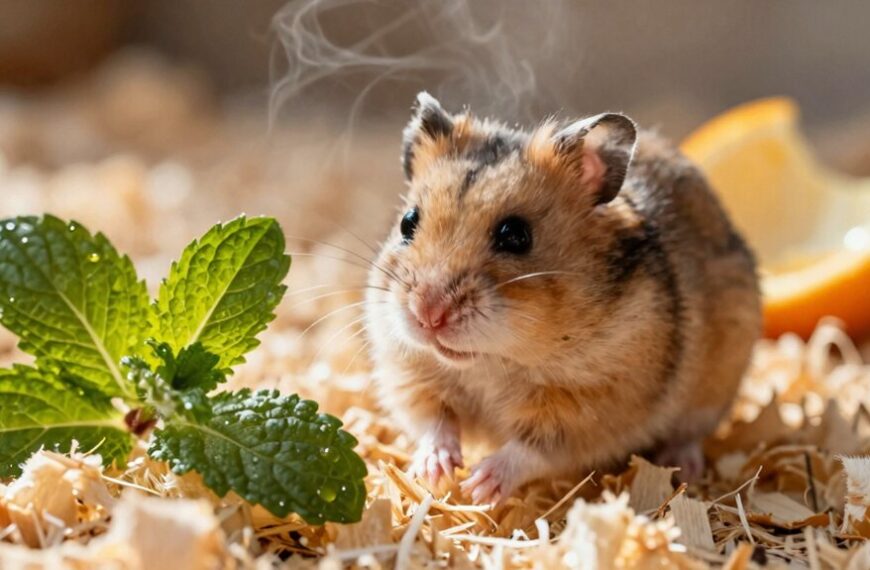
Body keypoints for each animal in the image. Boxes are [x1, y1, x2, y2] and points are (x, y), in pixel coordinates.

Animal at [365, 92, 761, 504]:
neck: (491, 362)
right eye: (408, 222)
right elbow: (433, 422)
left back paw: (685, 466)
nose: (428, 314)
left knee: (690, 435)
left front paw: (479, 486)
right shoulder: (409, 373)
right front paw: (436, 470)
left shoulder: (592, 407)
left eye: (515, 235)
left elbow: (532, 449)